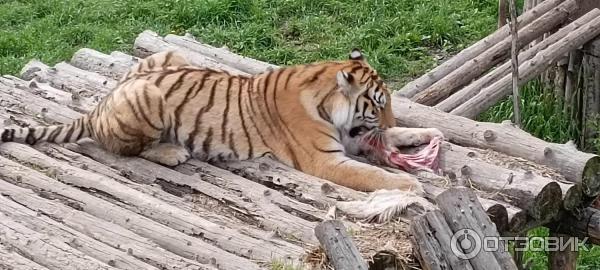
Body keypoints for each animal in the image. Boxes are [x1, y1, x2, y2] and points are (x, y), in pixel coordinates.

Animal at [0, 48, 442, 194]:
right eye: (378, 104)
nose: (386, 117)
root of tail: (98, 104)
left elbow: (396, 138)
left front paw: (428, 131)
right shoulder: (326, 159)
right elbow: (371, 175)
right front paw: (410, 185)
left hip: (169, 59)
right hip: (148, 98)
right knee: (123, 148)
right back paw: (172, 153)